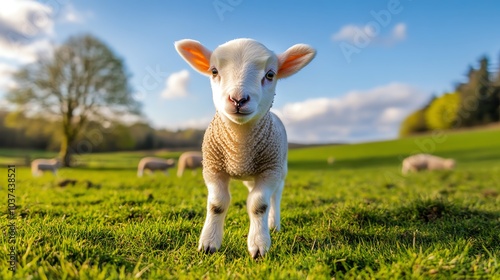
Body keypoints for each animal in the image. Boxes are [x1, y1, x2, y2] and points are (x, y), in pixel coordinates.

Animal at [177, 37, 316, 258]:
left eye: (270, 74)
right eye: (214, 71)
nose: (238, 99)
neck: (239, 142)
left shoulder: (269, 170)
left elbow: (259, 205)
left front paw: (258, 245)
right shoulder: (213, 168)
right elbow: (217, 204)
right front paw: (209, 243)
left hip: (280, 167)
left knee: (276, 195)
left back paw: (273, 224)